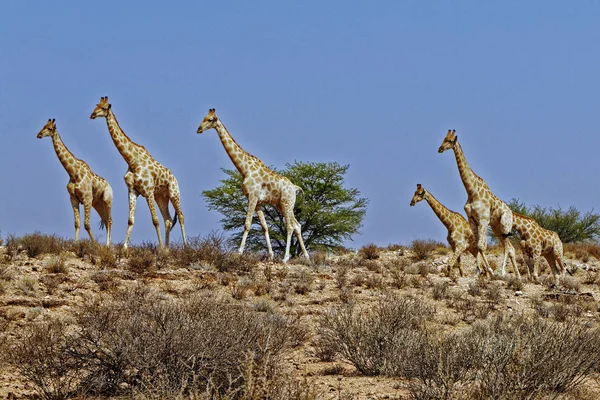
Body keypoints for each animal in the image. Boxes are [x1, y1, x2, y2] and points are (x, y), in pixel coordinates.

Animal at [37, 117, 113, 245]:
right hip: (97, 203)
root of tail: (110, 187)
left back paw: (108, 246)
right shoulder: (73, 199)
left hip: (107, 200)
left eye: (50, 128)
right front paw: (76, 244)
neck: (73, 173)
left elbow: (86, 224)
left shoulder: (87, 198)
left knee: (110, 221)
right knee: (106, 220)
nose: (39, 135)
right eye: (43, 126)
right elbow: (77, 223)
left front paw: (95, 245)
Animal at [89, 96, 185, 247]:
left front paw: (160, 248)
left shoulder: (148, 191)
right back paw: (168, 248)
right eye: (96, 105)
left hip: (174, 192)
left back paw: (185, 246)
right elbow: (131, 220)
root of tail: (174, 178)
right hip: (161, 197)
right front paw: (124, 248)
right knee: (168, 220)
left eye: (104, 108)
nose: (92, 115)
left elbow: (155, 220)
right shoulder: (133, 190)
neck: (132, 160)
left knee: (180, 216)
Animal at [197, 108, 310, 264]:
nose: (199, 129)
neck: (245, 169)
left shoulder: (252, 196)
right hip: (283, 205)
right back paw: (307, 257)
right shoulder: (258, 202)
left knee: (290, 226)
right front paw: (270, 255)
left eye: (210, 119)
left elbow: (247, 224)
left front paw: (238, 253)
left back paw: (285, 258)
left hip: (286, 203)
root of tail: (295, 188)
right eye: (203, 117)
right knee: (297, 225)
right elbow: (264, 227)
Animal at [436, 130, 520, 278]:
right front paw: (482, 272)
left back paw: (504, 272)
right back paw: (517, 276)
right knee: (510, 248)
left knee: (508, 248)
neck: (472, 191)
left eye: (450, 141)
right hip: (496, 227)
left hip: (504, 225)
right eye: (444, 138)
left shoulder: (483, 219)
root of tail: (511, 212)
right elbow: (478, 246)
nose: (440, 149)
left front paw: (489, 271)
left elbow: (481, 246)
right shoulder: (472, 219)